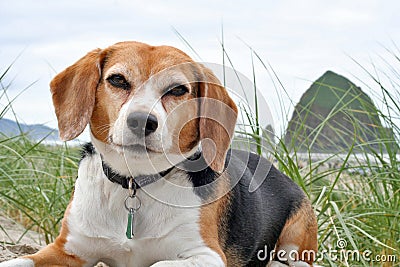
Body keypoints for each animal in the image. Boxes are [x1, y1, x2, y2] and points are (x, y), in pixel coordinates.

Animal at [1, 42, 318, 267]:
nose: (142, 121)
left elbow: (159, 263)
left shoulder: (206, 255)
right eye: (117, 80)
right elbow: (18, 260)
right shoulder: (68, 249)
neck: (135, 183)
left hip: (295, 247)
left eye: (177, 90)